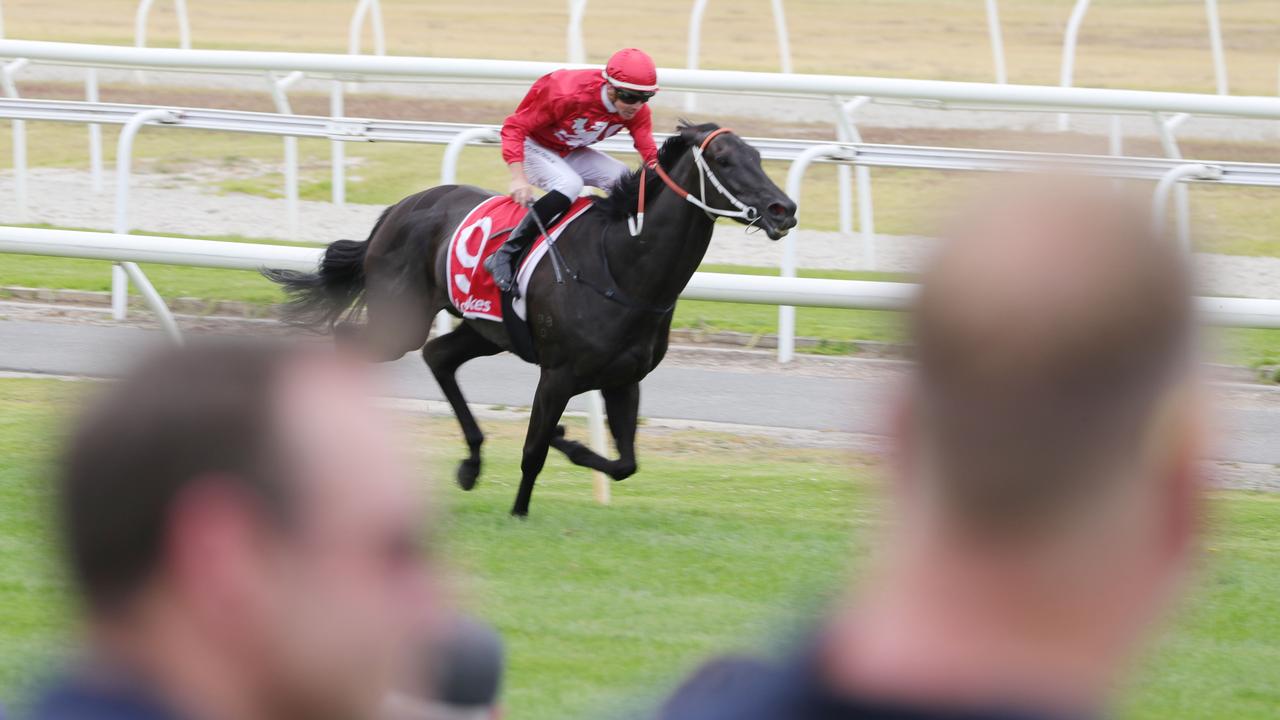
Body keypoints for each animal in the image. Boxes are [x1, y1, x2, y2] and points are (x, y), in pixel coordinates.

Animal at [264, 124, 793, 515]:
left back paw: (471, 463)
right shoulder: (558, 375)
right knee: (350, 337)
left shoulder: (624, 379)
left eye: (758, 155)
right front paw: (520, 510)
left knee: (439, 355)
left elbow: (625, 462)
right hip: (400, 322)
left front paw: (570, 444)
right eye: (723, 160)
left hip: (486, 329)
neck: (622, 266)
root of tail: (399, 207)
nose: (782, 208)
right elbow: (533, 451)